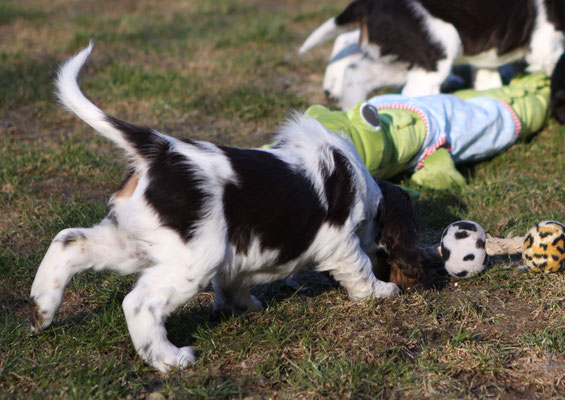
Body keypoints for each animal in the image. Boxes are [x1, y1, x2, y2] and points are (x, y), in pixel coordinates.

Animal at [28, 43, 424, 372]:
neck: (365, 187)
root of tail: (160, 149)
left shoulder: (235, 257)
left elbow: (233, 284)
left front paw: (243, 307)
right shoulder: (340, 243)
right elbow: (359, 269)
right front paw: (381, 292)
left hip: (132, 241)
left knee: (68, 241)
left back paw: (40, 311)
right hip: (191, 260)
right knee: (138, 303)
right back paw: (172, 359)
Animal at [300, 0, 564, 109]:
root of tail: (366, 4)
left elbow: (488, 81)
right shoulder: (544, 46)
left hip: (402, 58)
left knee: (355, 71)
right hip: (438, 48)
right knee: (412, 95)